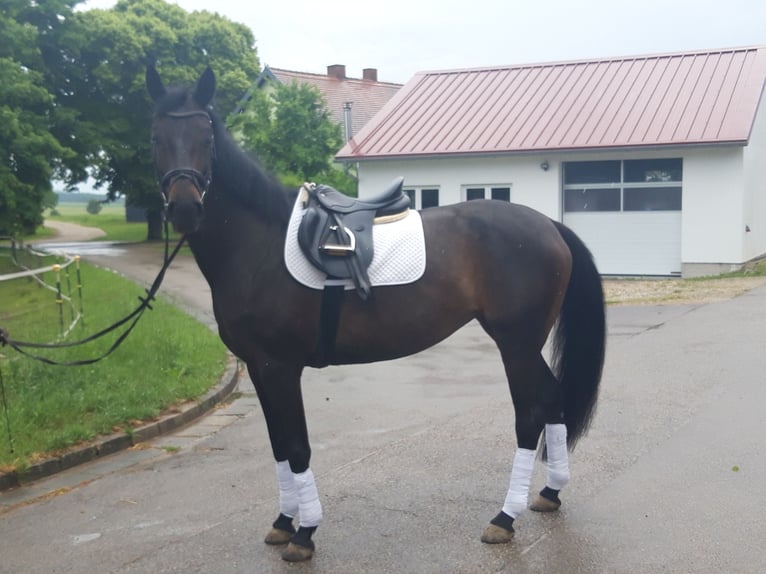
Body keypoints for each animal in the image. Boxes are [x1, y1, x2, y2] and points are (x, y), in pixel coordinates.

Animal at [145, 65, 606, 562]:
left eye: (206, 135)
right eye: (156, 136)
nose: (185, 208)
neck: (259, 247)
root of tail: (549, 225)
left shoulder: (280, 368)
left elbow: (297, 446)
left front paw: (305, 534)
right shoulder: (259, 368)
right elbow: (278, 446)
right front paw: (284, 522)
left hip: (515, 344)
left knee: (530, 413)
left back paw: (505, 517)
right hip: (524, 344)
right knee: (554, 399)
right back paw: (549, 493)